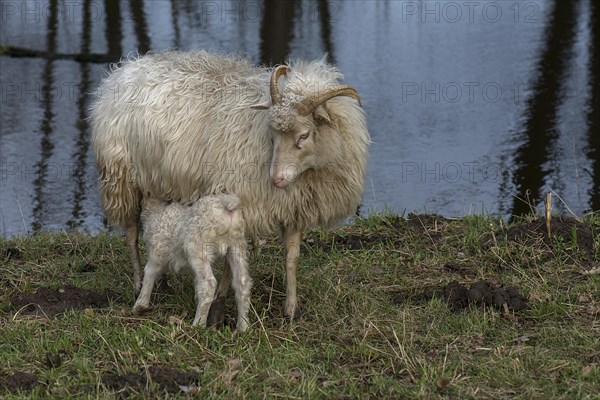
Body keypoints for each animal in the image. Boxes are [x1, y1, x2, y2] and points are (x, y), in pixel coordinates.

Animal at [90, 49, 370, 318]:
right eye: (272, 135)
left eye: (304, 135)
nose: (276, 178)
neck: (307, 173)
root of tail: (126, 67)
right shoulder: (242, 201)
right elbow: (228, 266)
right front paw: (218, 308)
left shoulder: (294, 207)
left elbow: (292, 257)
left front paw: (291, 309)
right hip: (121, 179)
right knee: (131, 234)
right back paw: (139, 283)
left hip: (158, 182)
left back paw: (163, 282)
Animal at [133, 195, 251, 332]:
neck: (157, 211)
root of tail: (227, 205)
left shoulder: (156, 254)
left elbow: (149, 275)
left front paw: (140, 305)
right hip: (237, 246)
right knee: (242, 283)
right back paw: (243, 327)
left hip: (198, 247)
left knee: (209, 285)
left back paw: (198, 325)